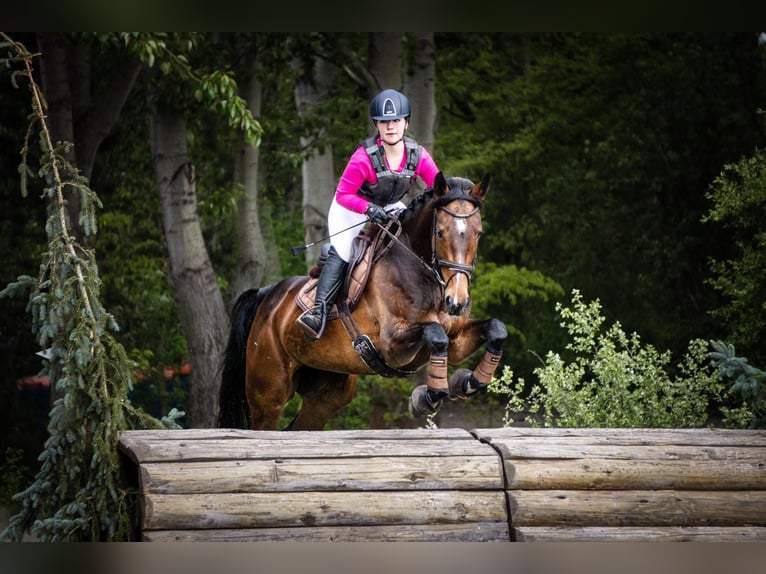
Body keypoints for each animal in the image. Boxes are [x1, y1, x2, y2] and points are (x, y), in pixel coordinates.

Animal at [218, 174, 510, 432]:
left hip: (328, 392)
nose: (457, 302)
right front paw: (427, 398)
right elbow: (435, 333)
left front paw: (468, 382)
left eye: (479, 233)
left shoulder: (457, 339)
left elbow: (496, 329)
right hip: (269, 393)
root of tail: (268, 296)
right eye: (439, 232)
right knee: (265, 422)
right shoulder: (393, 347)